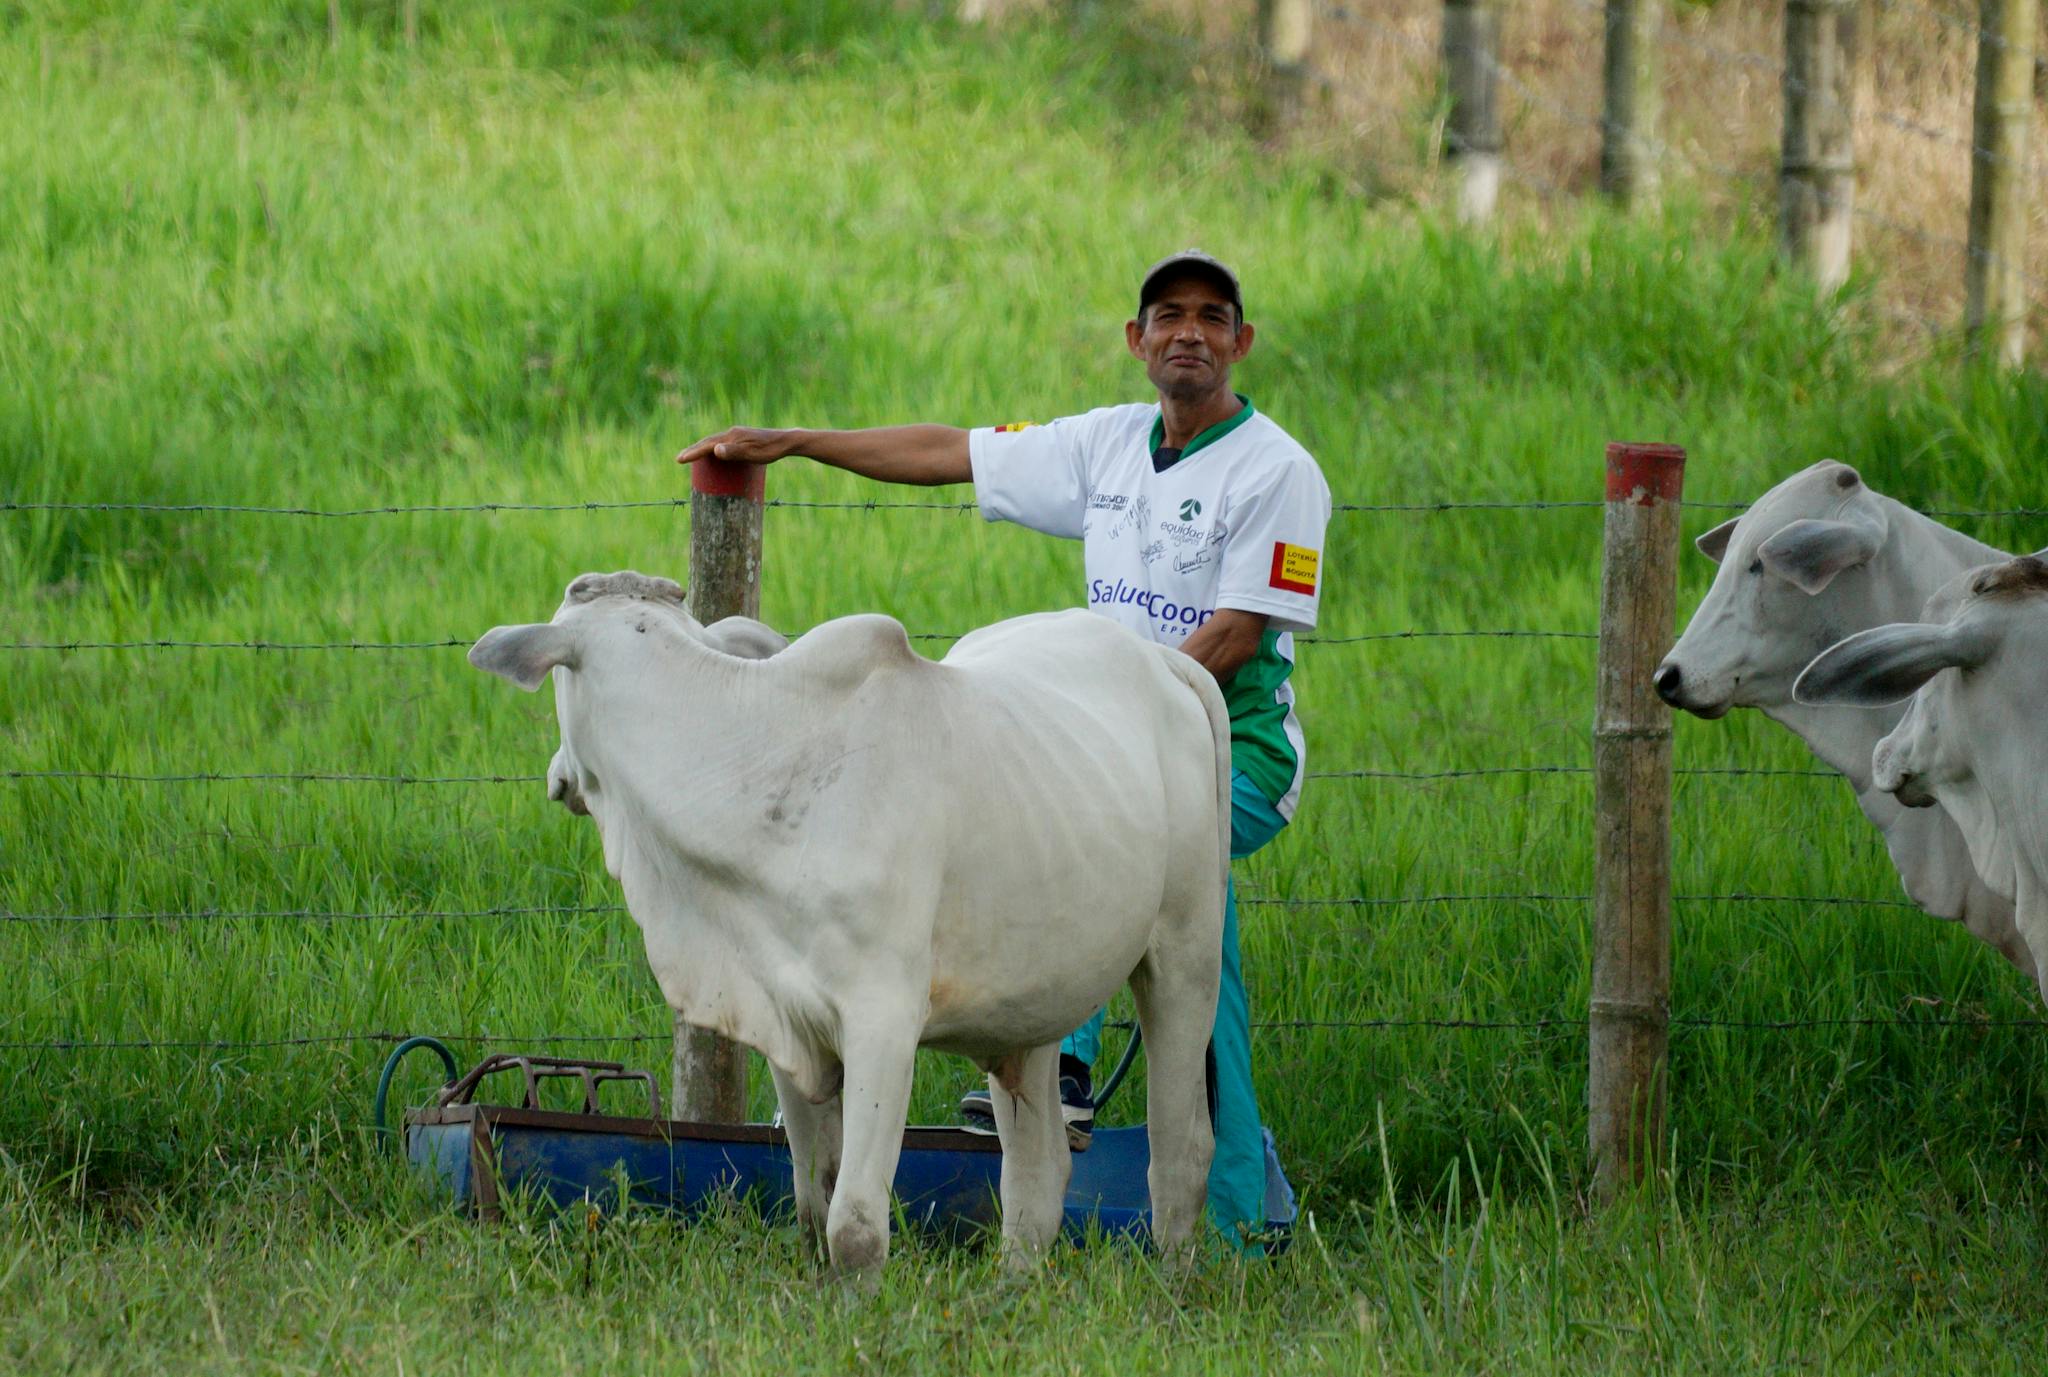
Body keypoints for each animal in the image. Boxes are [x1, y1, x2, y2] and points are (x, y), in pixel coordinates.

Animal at [469, 572, 1229, 1277]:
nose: (559, 774)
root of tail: (1161, 660)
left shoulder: (883, 1021)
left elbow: (856, 1224)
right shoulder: (781, 1018)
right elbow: (814, 1202)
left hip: (1186, 953)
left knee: (1182, 1149)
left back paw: (1174, 1282)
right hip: (1033, 999)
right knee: (1038, 1172)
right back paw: (1014, 1284)